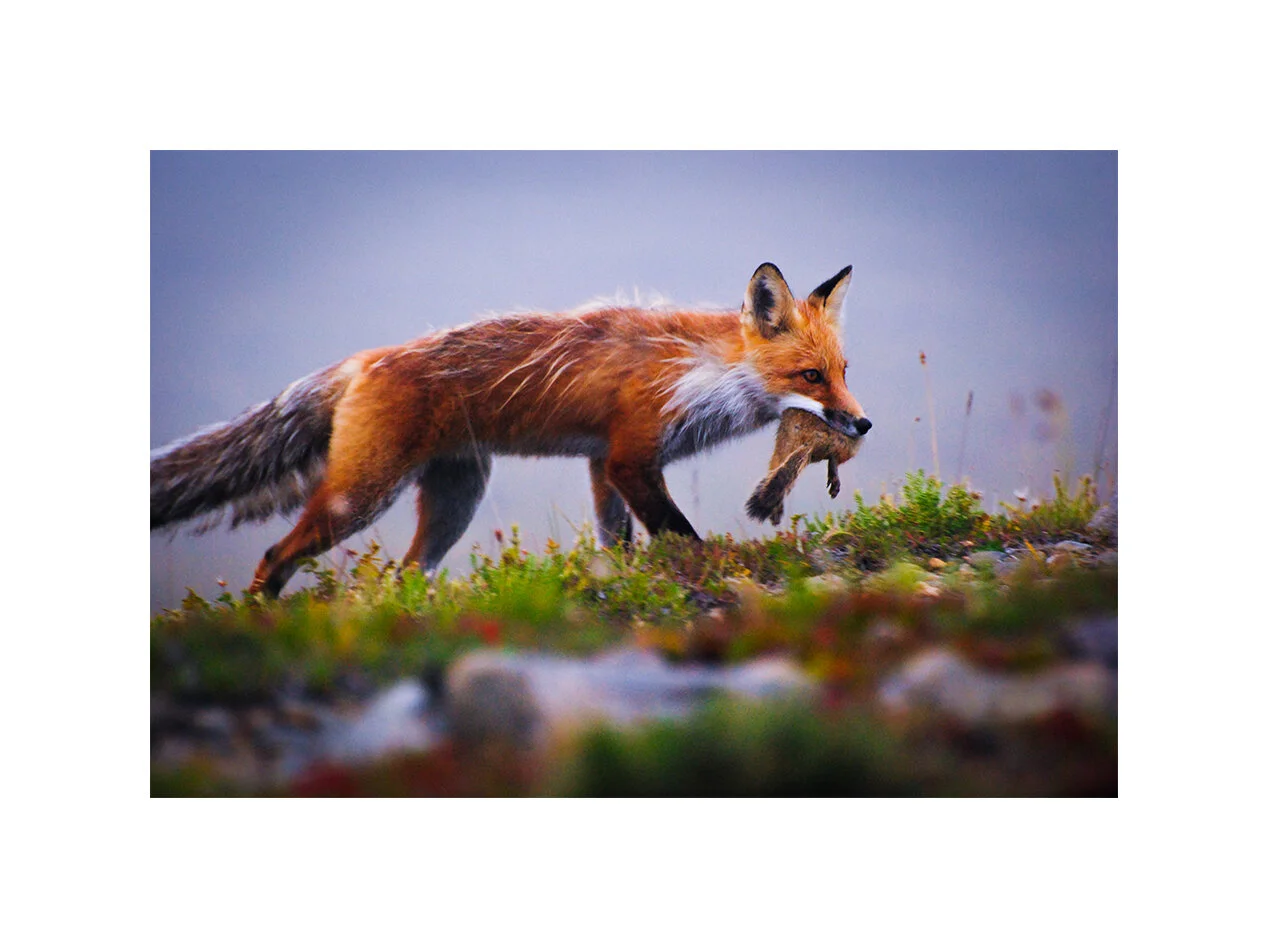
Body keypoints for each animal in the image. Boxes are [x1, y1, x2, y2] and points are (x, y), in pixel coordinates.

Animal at [151, 262, 872, 597]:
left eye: (843, 371)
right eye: (810, 376)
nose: (862, 423)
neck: (697, 370)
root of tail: (364, 359)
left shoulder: (601, 464)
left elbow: (618, 542)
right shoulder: (630, 457)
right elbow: (681, 535)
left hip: (454, 503)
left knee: (403, 576)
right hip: (358, 499)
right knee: (276, 555)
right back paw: (257, 616)